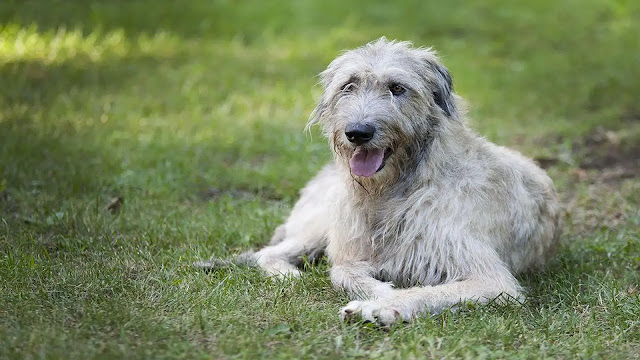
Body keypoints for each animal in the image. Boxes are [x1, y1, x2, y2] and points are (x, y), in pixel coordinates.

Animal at [199, 38, 560, 324]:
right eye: (348, 85)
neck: (394, 190)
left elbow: (428, 290)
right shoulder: (350, 245)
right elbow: (341, 270)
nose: (358, 132)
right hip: (320, 221)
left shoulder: (490, 279)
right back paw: (288, 273)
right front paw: (379, 293)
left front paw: (382, 306)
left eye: (397, 88)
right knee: (269, 253)